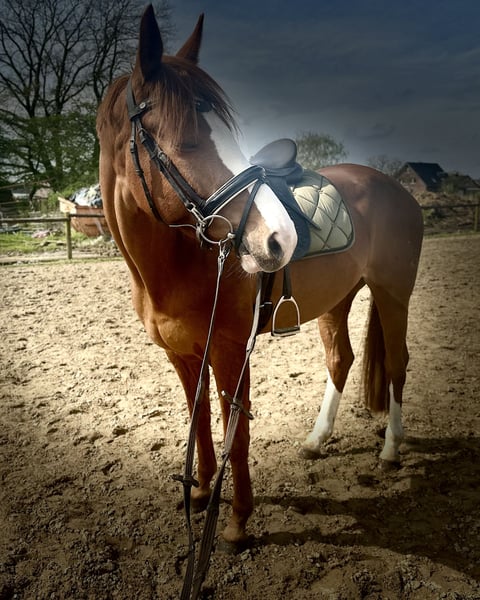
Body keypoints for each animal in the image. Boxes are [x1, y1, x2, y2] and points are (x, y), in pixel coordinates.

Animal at [96, 4, 423, 556]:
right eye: (186, 139)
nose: (279, 239)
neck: (176, 266)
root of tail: (397, 188)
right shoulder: (184, 354)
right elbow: (200, 420)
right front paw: (201, 492)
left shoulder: (231, 349)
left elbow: (237, 430)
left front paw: (236, 522)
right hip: (338, 299)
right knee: (341, 360)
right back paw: (316, 441)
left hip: (393, 293)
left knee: (397, 361)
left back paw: (391, 450)